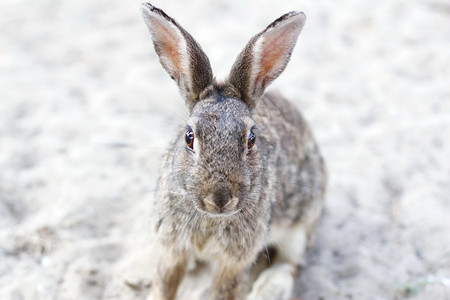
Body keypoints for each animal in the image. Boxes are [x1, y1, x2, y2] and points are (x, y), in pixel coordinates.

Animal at [141, 2, 326, 300]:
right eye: (189, 137)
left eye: (251, 139)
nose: (219, 198)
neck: (210, 218)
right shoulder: (172, 248)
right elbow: (165, 283)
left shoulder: (235, 260)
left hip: (300, 224)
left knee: (292, 263)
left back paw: (268, 289)